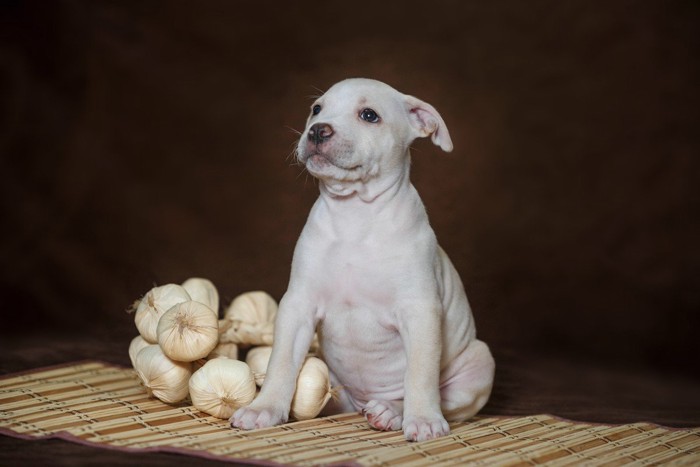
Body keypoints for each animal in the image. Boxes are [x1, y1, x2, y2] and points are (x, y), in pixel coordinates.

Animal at [232, 77, 494, 442]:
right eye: (317, 109)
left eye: (369, 115)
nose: (317, 131)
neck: (354, 215)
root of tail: (358, 404)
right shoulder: (298, 305)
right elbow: (281, 362)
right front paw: (264, 408)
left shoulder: (421, 311)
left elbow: (421, 373)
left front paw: (424, 419)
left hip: (479, 363)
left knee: (443, 398)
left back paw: (392, 411)